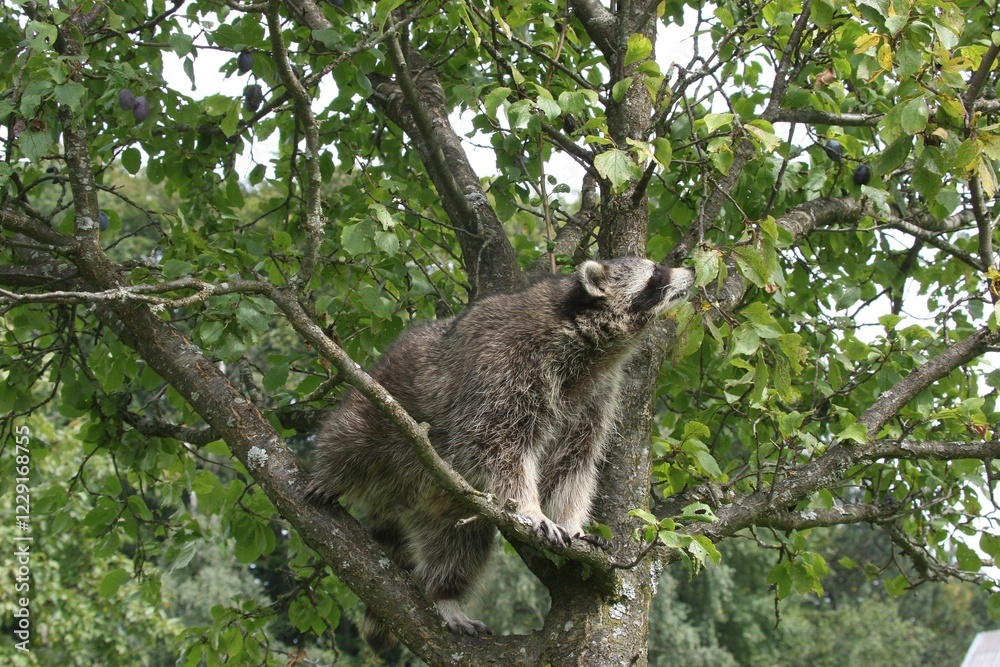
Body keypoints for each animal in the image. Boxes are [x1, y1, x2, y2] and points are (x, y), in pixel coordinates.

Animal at [307, 257, 694, 648]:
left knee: (459, 547)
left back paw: (444, 594)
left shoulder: (595, 395)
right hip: (383, 409)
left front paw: (571, 522)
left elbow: (572, 464)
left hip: (449, 508)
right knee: (351, 438)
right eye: (655, 272)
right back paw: (331, 471)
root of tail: (397, 501)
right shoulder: (505, 364)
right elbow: (496, 443)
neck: (588, 345)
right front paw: (531, 508)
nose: (691, 272)